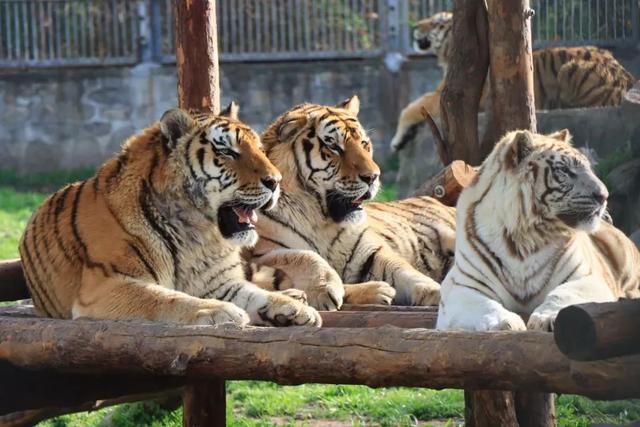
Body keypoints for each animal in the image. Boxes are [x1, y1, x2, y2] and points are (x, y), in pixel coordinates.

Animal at [19, 103, 320, 328]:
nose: (276, 181)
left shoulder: (220, 283)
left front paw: (291, 308)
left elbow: (254, 294)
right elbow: (165, 298)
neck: (197, 234)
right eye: (226, 151)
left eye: (258, 148)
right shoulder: (105, 285)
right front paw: (220, 311)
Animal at [245, 96, 456, 310]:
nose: (373, 177)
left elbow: (403, 270)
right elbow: (303, 256)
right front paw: (324, 288)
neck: (319, 219)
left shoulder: (370, 251)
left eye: (364, 143)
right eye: (334, 146)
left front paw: (437, 292)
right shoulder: (263, 252)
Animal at [390, 10, 636, 152]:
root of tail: (627, 79)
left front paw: (396, 141)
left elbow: (411, 106)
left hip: (571, 68)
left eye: (437, 23)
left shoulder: (447, 95)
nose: (414, 27)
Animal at [438, 129, 636, 332]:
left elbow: (563, 294)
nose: (604, 196)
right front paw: (505, 322)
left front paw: (548, 317)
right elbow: (483, 304)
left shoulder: (587, 278)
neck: (525, 235)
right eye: (565, 171)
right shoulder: (459, 286)